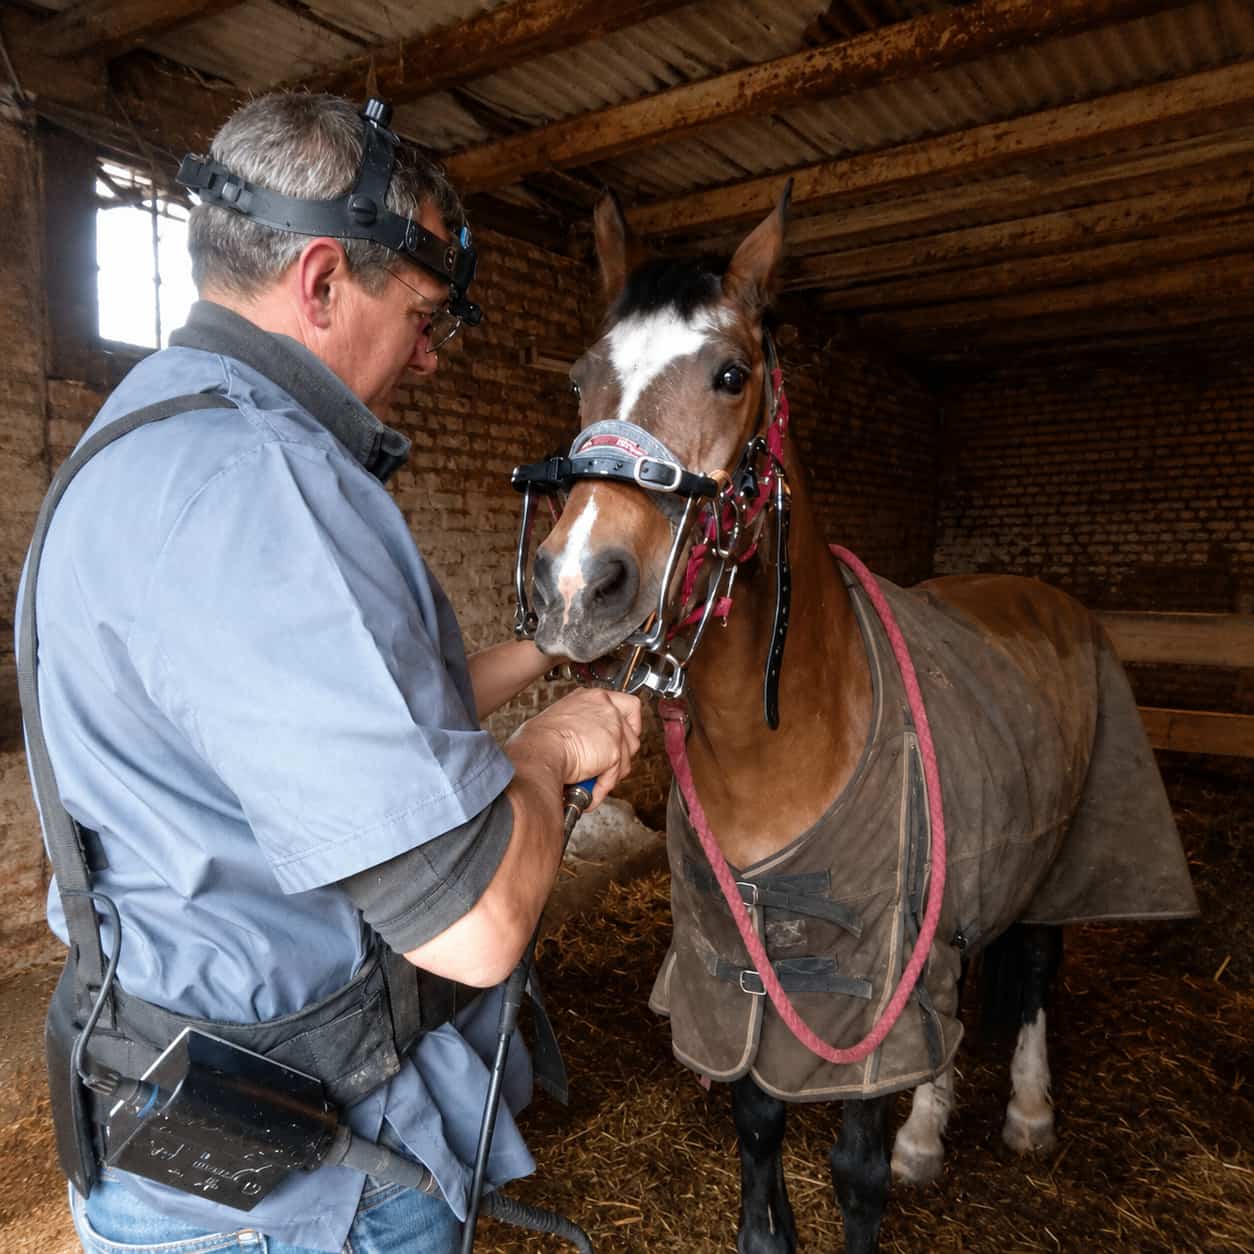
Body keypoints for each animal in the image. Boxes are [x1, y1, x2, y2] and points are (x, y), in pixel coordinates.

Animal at [508, 187, 1199, 1253]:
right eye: (583, 377)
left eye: (731, 374)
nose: (578, 586)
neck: (789, 745)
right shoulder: (743, 967)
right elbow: (759, 1119)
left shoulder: (865, 984)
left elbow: (855, 1168)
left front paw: (900, 1158)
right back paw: (931, 1133)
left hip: (1058, 856)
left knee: (1037, 967)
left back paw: (1028, 1115)